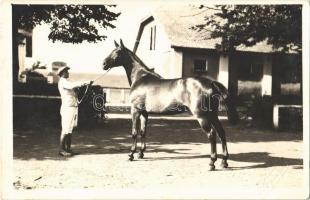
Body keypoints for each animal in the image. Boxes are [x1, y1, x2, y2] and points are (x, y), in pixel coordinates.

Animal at [103, 39, 239, 171]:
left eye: (117, 52)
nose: (104, 64)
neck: (140, 77)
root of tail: (211, 83)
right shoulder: (144, 113)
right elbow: (143, 132)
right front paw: (141, 153)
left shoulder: (135, 111)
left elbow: (134, 133)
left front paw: (131, 155)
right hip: (213, 115)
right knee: (221, 133)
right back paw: (224, 162)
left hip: (202, 116)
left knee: (212, 134)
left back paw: (212, 163)